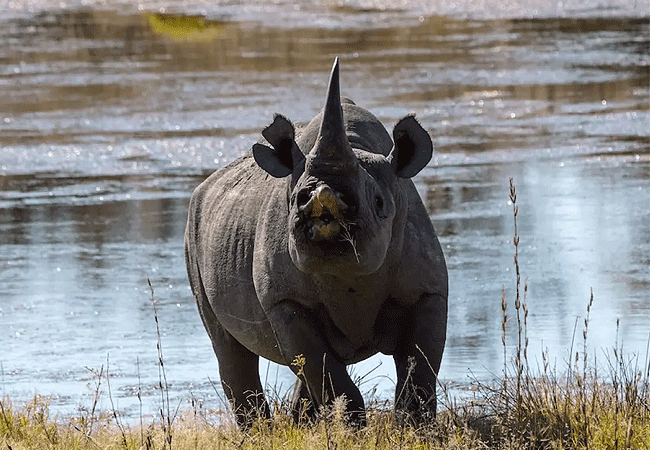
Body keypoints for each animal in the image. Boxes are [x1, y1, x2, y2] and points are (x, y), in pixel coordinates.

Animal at [184, 58, 448, 428]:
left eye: (379, 203)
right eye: (297, 198)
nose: (321, 198)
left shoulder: (428, 291)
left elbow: (419, 371)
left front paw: (413, 429)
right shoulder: (284, 301)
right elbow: (325, 372)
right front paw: (353, 430)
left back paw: (298, 425)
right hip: (192, 232)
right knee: (232, 350)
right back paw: (261, 432)